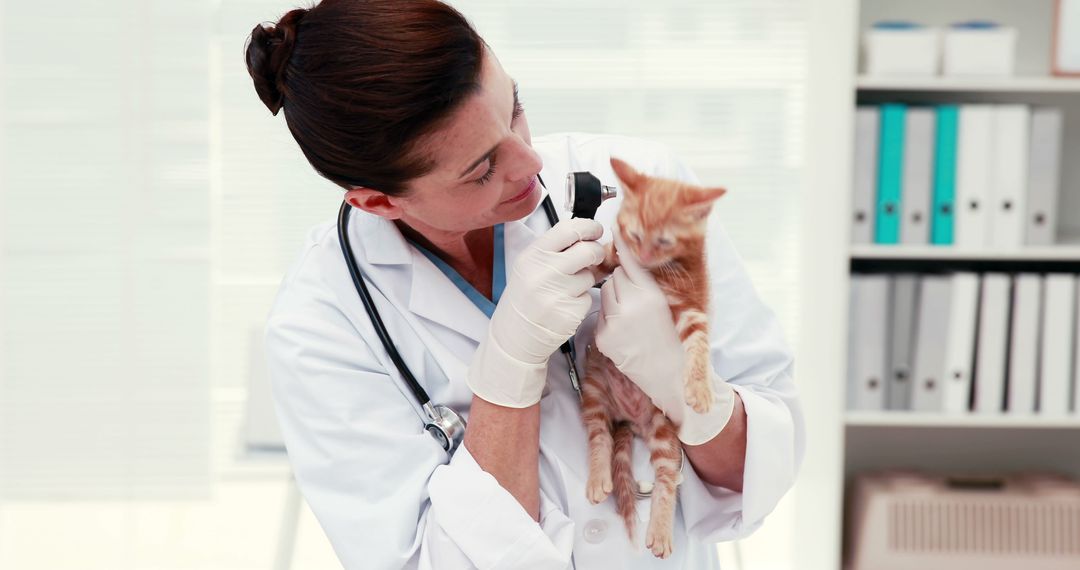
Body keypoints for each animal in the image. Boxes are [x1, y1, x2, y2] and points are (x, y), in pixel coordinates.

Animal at [583, 157, 725, 557]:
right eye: (633, 235)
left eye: (663, 240)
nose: (643, 257)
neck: (654, 271)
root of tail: (628, 419)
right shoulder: (616, 258)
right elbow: (600, 261)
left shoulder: (692, 301)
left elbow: (698, 341)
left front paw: (700, 389)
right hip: (594, 388)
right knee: (598, 435)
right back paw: (598, 476)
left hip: (662, 423)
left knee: (666, 476)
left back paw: (660, 531)